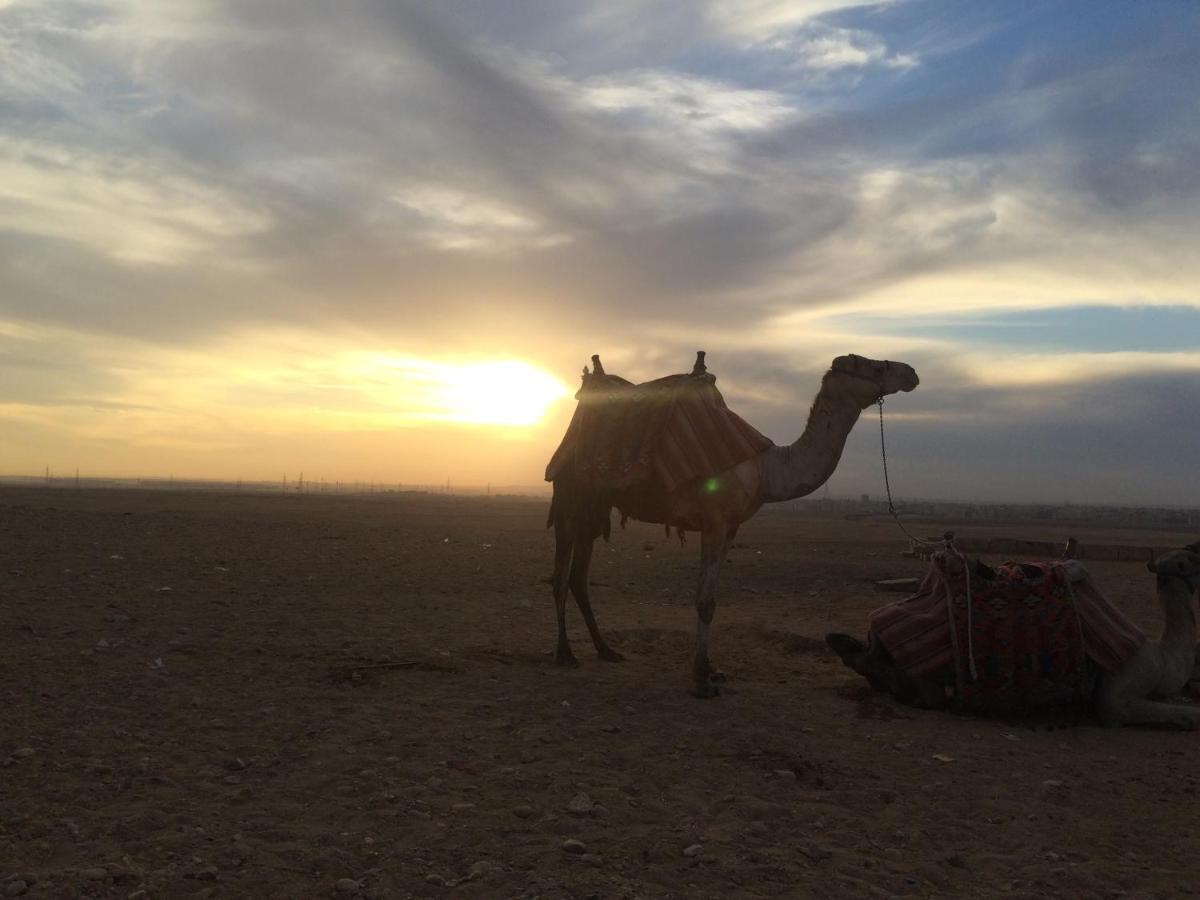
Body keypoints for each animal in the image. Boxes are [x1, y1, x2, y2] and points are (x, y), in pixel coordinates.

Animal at [549, 352, 916, 696]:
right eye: (875, 367)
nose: (911, 372)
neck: (766, 469)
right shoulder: (714, 520)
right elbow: (704, 601)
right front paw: (700, 681)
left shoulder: (732, 526)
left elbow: (712, 597)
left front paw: (713, 671)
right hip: (568, 497)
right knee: (560, 577)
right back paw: (565, 654)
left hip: (594, 506)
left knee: (578, 576)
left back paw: (606, 650)